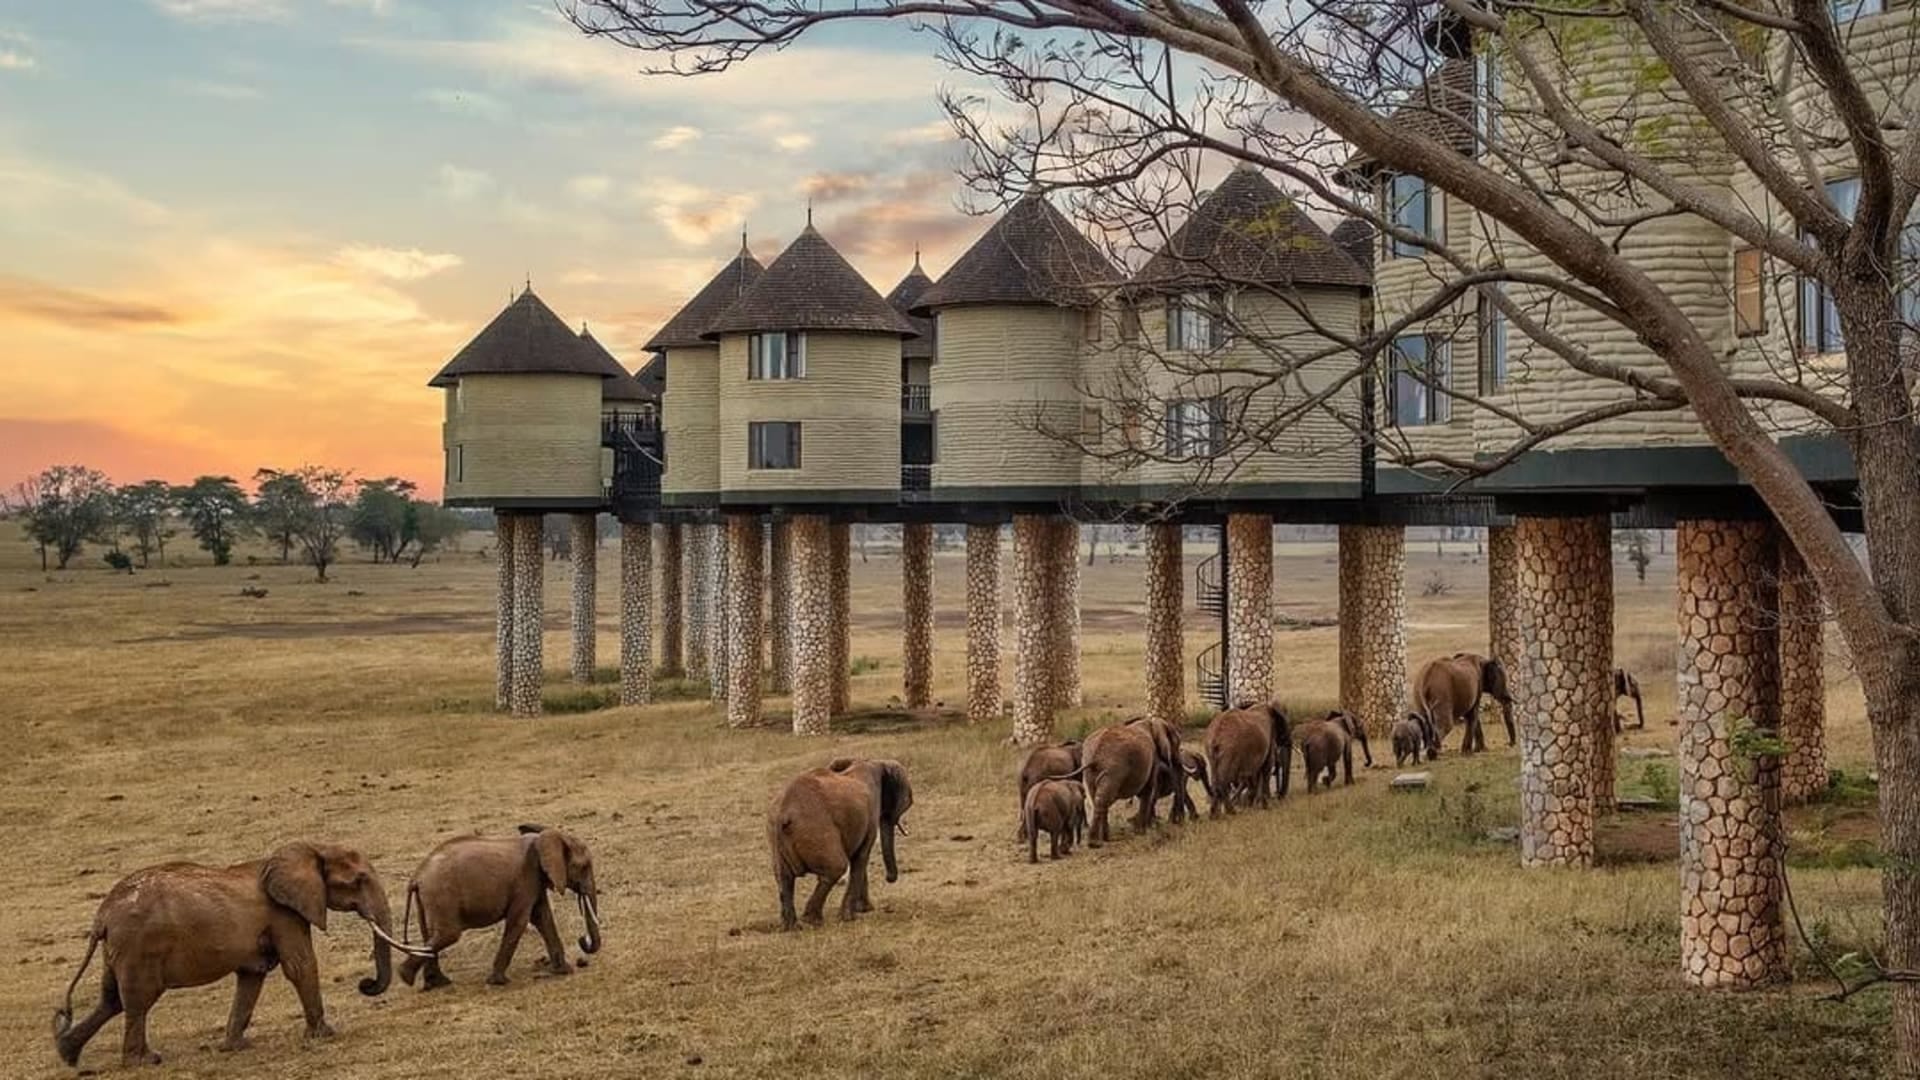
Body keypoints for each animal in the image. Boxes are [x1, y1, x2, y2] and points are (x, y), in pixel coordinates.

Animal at [53, 841, 415, 1068]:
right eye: (359, 879)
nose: (365, 984)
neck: (311, 848)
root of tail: (102, 916)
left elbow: (252, 976)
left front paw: (234, 1047)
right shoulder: (284, 914)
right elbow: (300, 966)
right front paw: (325, 1035)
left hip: (118, 951)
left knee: (111, 999)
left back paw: (68, 1054)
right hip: (138, 948)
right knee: (138, 1000)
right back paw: (144, 1061)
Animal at [395, 824, 602, 991]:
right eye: (584, 867)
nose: (582, 939)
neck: (543, 838)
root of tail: (416, 877)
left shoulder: (535, 881)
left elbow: (542, 917)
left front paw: (564, 970)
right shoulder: (525, 879)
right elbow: (520, 921)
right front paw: (498, 982)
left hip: (427, 900)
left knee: (430, 935)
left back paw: (435, 982)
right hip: (441, 896)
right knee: (448, 935)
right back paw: (405, 976)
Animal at [768, 757, 913, 930]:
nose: (889, 878)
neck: (873, 762)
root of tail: (784, 813)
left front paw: (864, 909)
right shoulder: (870, 815)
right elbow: (861, 857)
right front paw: (850, 917)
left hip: (777, 838)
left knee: (784, 878)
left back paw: (792, 927)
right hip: (817, 831)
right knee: (836, 868)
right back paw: (812, 921)